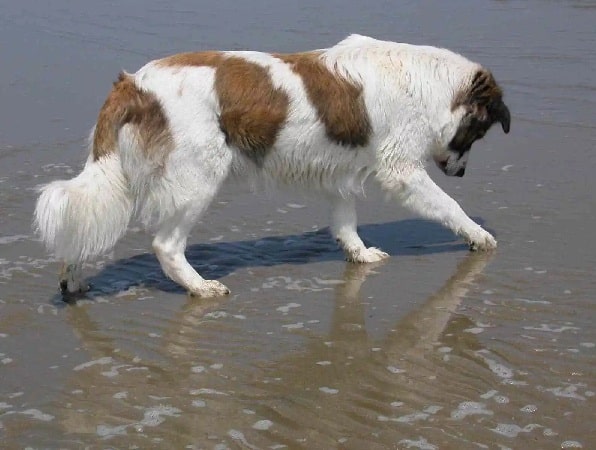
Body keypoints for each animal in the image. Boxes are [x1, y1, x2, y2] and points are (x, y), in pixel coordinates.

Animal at [33, 34, 508, 296]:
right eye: (478, 133)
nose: (461, 172)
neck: (427, 82)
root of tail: (135, 83)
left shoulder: (340, 174)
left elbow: (346, 223)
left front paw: (359, 254)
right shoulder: (402, 172)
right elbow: (449, 207)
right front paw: (479, 236)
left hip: (130, 175)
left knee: (83, 224)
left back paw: (72, 280)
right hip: (197, 178)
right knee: (166, 246)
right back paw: (198, 286)